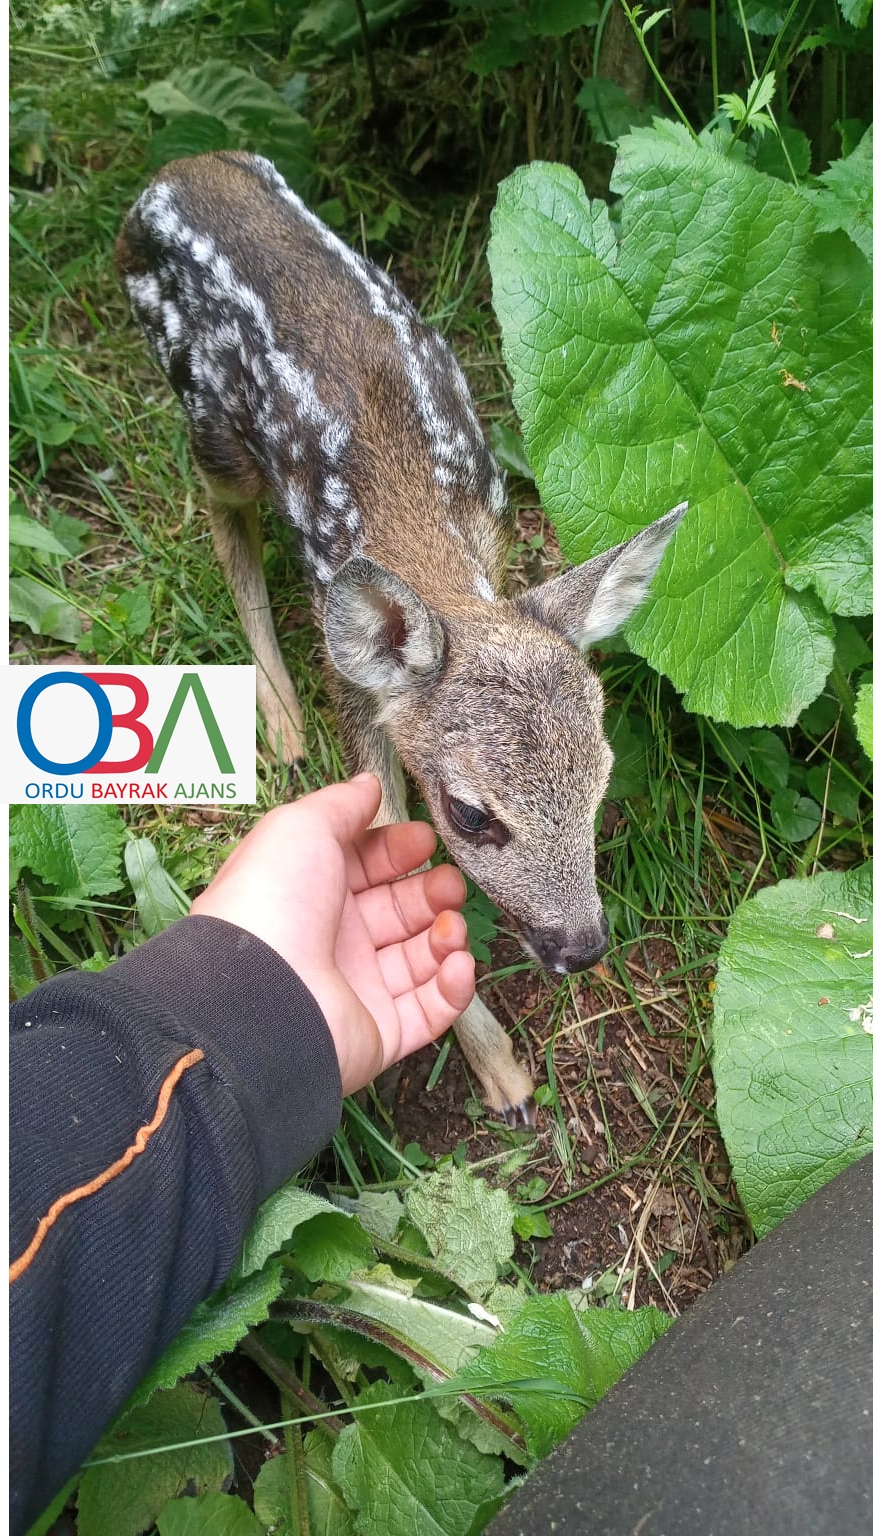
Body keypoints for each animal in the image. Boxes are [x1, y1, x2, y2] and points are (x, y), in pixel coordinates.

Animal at [116, 151, 686, 1125]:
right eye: (470, 815)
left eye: (602, 781)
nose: (580, 948)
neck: (428, 542)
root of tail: (172, 173)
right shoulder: (363, 695)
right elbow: (400, 864)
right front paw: (501, 1073)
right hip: (209, 423)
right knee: (226, 527)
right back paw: (279, 719)